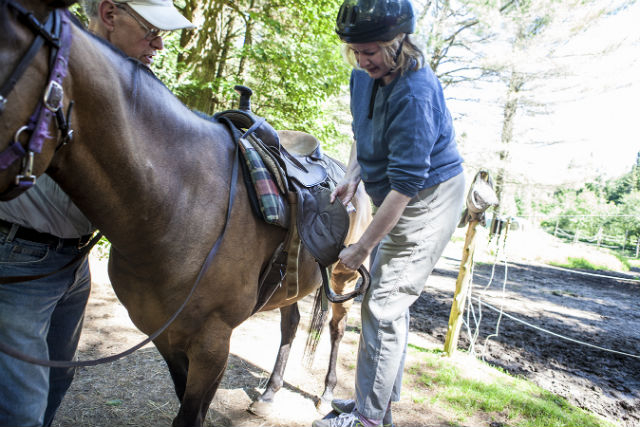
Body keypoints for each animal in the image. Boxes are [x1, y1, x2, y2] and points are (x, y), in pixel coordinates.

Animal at [0, 1, 370, 426]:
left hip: (342, 279)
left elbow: (191, 413)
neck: (178, 204)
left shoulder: (212, 343)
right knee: (290, 323)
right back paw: (269, 393)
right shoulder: (167, 334)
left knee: (336, 329)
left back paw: (326, 395)